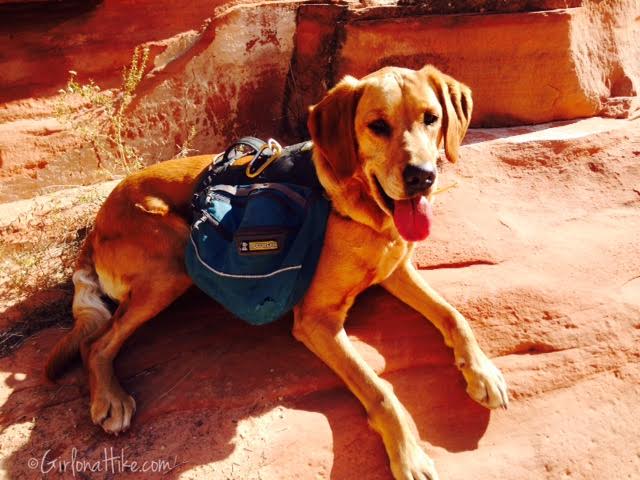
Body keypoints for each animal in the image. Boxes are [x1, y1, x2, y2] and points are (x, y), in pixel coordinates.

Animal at [45, 64, 508, 480]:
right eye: (377, 126)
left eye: (431, 118)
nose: (422, 177)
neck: (362, 212)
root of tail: (95, 226)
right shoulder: (317, 320)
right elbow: (379, 388)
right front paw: (409, 454)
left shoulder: (397, 270)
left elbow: (454, 315)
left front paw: (483, 371)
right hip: (171, 262)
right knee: (96, 344)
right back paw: (111, 397)